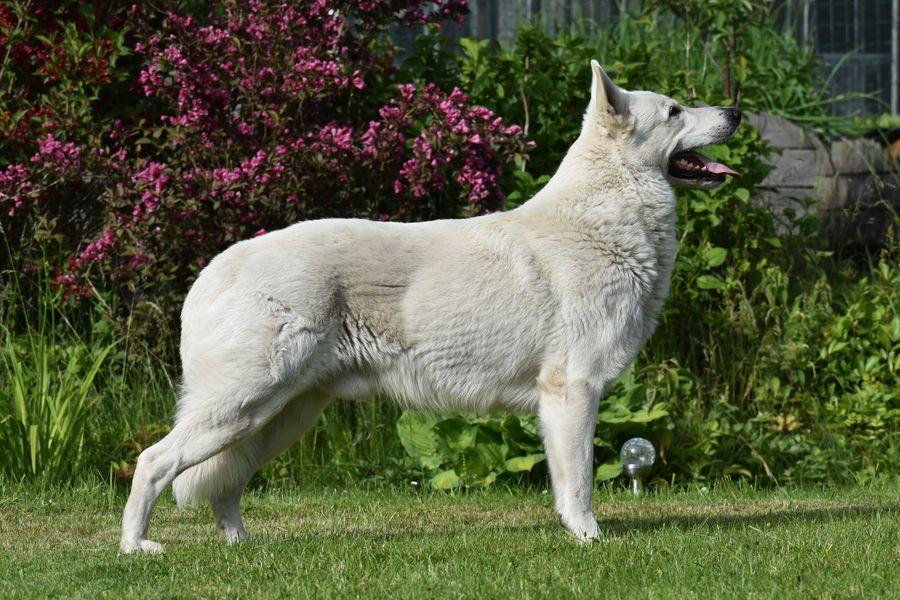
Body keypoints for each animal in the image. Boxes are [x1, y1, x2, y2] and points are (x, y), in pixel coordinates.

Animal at [118, 59, 740, 552]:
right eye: (675, 111)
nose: (735, 111)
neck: (604, 216)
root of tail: (212, 272)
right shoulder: (573, 392)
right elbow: (580, 483)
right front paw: (589, 539)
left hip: (278, 416)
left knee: (223, 484)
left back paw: (243, 548)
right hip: (244, 405)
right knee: (153, 463)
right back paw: (135, 548)